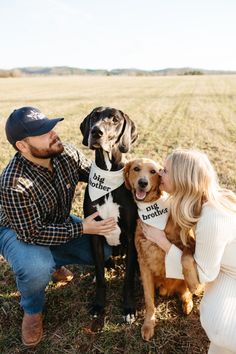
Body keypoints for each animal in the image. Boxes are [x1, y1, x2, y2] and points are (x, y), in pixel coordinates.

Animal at [79, 106, 138, 322]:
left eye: (115, 120)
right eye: (95, 116)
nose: (96, 131)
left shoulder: (131, 235)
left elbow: (127, 279)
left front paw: (128, 309)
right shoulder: (95, 234)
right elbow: (100, 277)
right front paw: (98, 305)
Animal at [124, 158, 198, 340]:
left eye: (153, 172)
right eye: (136, 168)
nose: (142, 183)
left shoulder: (190, 241)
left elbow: (186, 256)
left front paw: (193, 282)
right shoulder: (143, 262)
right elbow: (149, 301)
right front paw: (148, 324)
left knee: (186, 292)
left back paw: (188, 302)